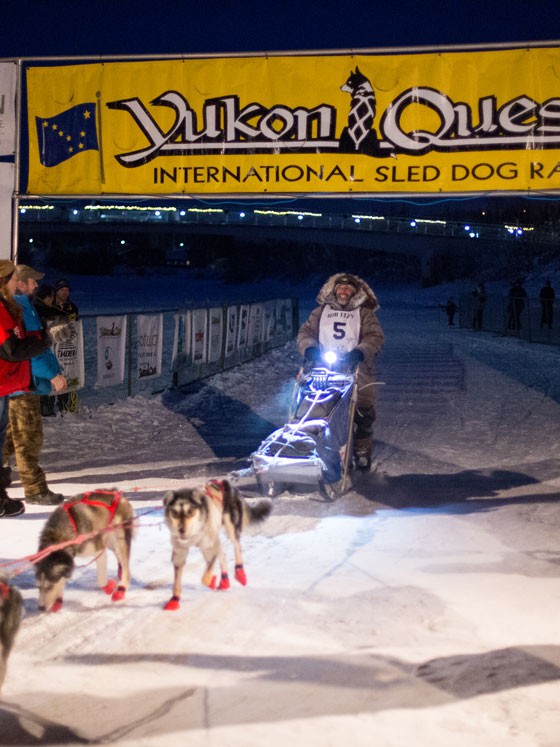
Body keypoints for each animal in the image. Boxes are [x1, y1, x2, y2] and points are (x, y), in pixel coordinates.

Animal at [163, 478, 272, 610]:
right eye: (174, 512)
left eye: (191, 511)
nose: (181, 530)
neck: (194, 534)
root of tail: (225, 483)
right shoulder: (180, 553)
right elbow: (177, 580)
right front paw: (175, 599)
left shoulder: (211, 546)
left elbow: (205, 577)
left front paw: (210, 580)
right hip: (209, 544)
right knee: (223, 555)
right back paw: (224, 581)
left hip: (229, 530)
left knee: (236, 547)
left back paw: (239, 573)